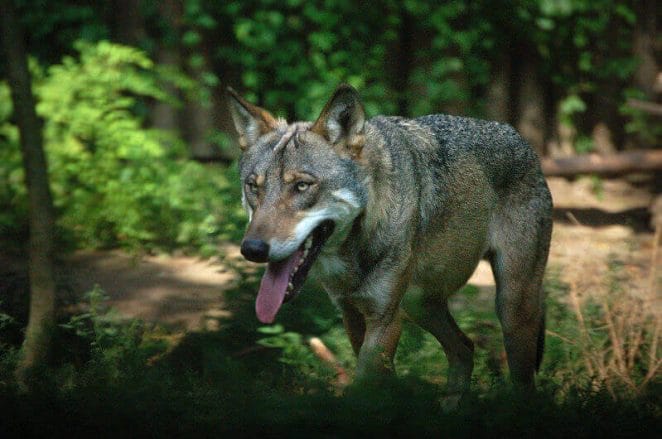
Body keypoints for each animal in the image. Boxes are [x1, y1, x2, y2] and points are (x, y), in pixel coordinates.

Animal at [228, 84, 556, 398]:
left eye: (301, 186)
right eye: (253, 187)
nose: (252, 249)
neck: (353, 255)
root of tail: (520, 137)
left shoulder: (384, 320)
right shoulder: (352, 315)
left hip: (511, 309)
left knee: (523, 384)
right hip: (419, 305)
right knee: (465, 349)